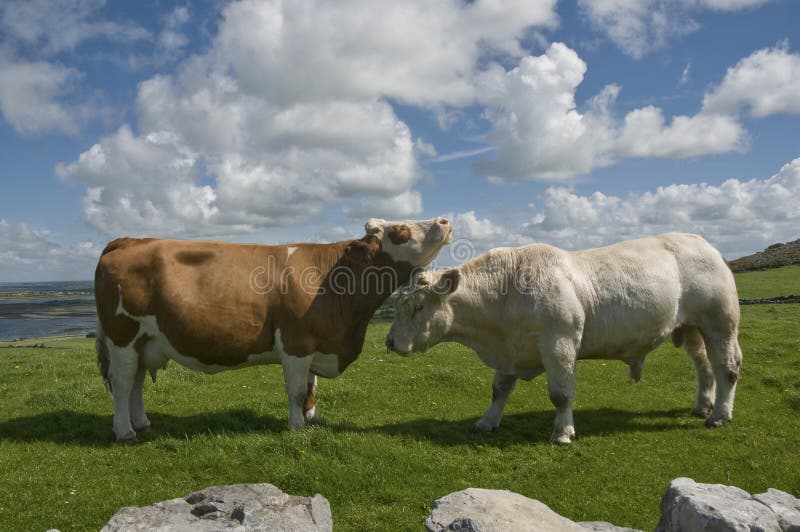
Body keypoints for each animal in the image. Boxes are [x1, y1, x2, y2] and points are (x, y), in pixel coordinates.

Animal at [95, 217, 452, 442]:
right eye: (401, 231)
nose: (445, 220)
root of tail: (128, 241)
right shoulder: (296, 343)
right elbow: (296, 390)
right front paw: (296, 426)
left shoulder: (315, 344)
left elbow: (311, 386)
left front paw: (311, 418)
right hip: (122, 335)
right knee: (123, 384)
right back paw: (125, 432)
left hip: (144, 341)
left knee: (137, 383)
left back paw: (142, 423)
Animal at [385, 233, 743, 444]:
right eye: (397, 304)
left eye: (418, 307)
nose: (390, 343)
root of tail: (703, 244)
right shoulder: (510, 349)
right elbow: (499, 389)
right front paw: (487, 421)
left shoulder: (559, 342)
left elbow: (561, 393)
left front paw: (562, 431)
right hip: (692, 328)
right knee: (704, 367)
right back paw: (703, 405)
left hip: (720, 324)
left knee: (726, 367)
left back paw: (719, 415)